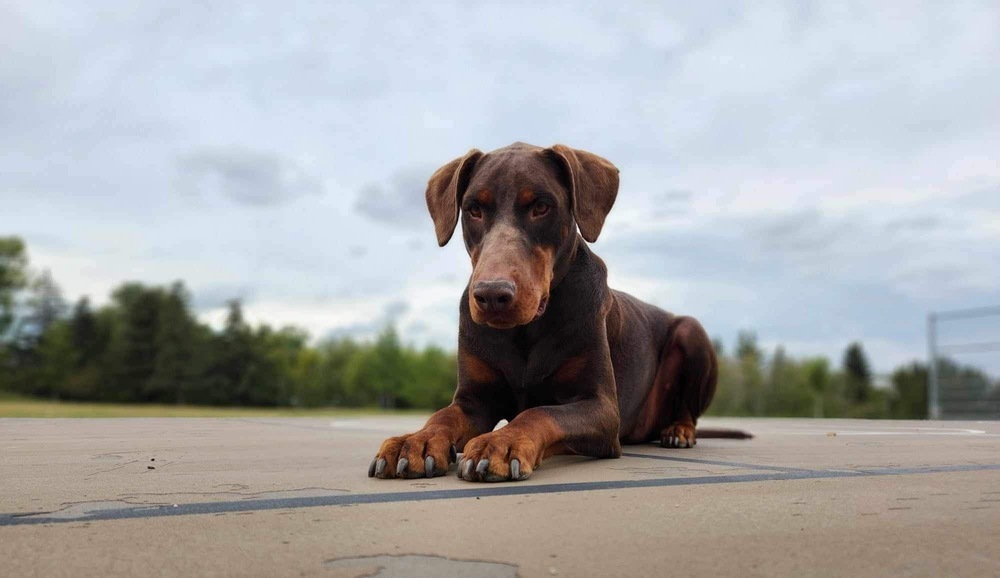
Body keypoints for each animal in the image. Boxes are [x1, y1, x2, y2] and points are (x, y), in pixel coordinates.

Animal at [366, 143, 744, 482]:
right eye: (473, 209)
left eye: (541, 206)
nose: (492, 295)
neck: (525, 331)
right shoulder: (473, 400)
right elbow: (443, 416)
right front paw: (414, 442)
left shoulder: (601, 408)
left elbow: (541, 413)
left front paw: (500, 444)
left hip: (691, 332)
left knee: (688, 407)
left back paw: (678, 431)